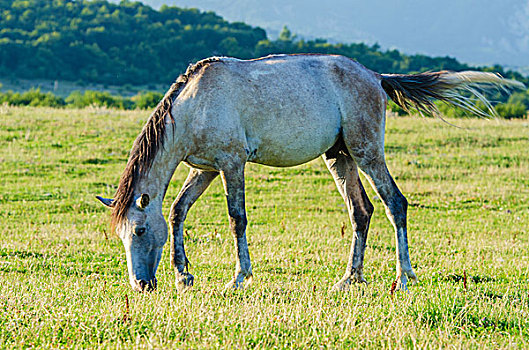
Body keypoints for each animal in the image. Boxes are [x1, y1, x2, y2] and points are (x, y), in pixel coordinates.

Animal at [97, 53, 520, 292]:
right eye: (122, 235)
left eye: (138, 231)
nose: (141, 285)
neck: (195, 104)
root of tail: (375, 77)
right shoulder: (205, 170)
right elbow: (177, 211)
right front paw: (184, 276)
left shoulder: (232, 165)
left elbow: (237, 219)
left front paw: (240, 277)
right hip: (340, 157)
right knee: (361, 211)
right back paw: (350, 279)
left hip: (367, 152)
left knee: (394, 204)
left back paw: (403, 278)